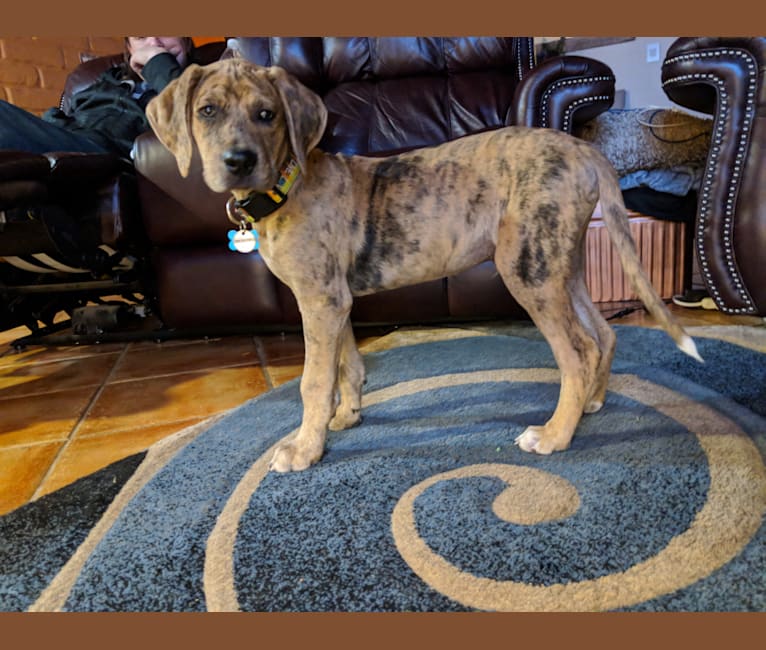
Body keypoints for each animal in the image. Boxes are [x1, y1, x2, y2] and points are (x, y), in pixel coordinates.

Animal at [148, 58, 704, 470]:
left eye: (267, 115)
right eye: (207, 111)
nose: (238, 162)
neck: (288, 183)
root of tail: (584, 150)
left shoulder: (319, 300)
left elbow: (313, 381)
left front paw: (305, 449)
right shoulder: (336, 301)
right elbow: (348, 364)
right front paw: (346, 417)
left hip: (526, 269)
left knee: (578, 350)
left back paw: (554, 435)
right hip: (559, 264)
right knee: (603, 333)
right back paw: (590, 401)